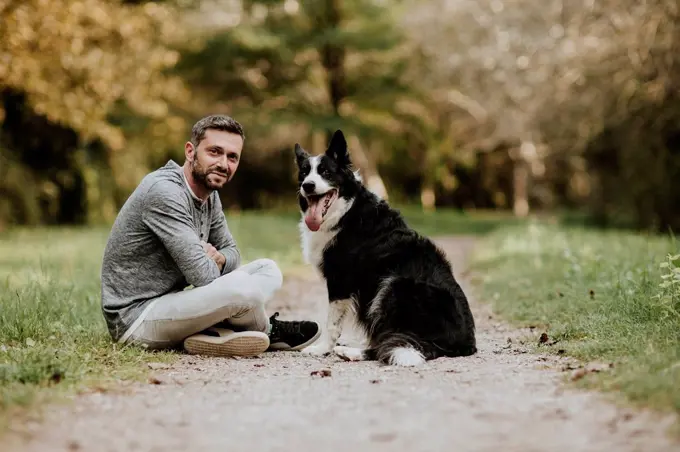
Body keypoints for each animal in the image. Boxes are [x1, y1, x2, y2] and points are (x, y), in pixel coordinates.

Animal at [292, 129, 478, 366]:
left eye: (325, 172)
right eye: (304, 173)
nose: (307, 186)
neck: (346, 210)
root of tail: (465, 343)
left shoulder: (340, 281)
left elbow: (332, 323)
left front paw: (321, 349)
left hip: (394, 284)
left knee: (391, 343)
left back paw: (351, 352)